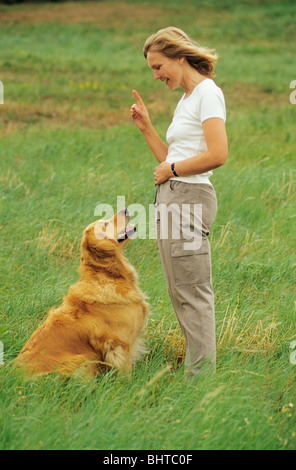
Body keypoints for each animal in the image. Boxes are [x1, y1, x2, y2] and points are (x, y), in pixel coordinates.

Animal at [15, 211, 150, 380]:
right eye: (105, 224)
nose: (125, 210)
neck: (106, 274)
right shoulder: (120, 344)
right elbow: (125, 373)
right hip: (81, 359)